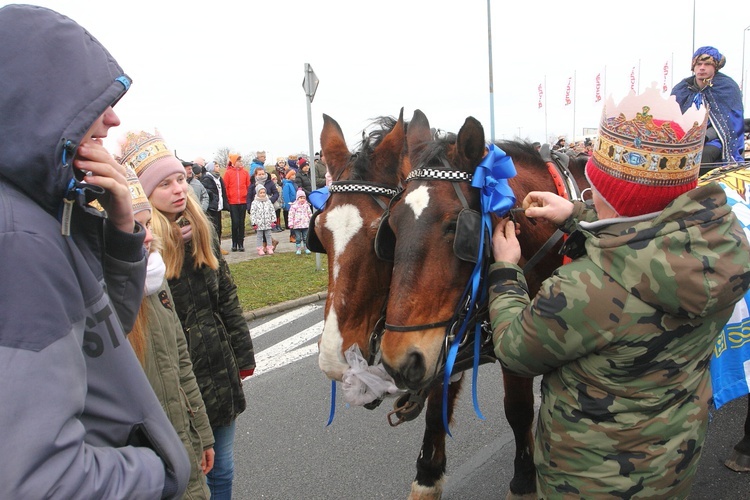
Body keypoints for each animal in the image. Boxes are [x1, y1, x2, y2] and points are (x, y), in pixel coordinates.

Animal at [378, 110, 592, 500]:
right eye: (392, 227)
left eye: (456, 228)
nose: (399, 359)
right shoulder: (447, 334)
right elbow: (437, 405)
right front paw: (427, 477)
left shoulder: (523, 338)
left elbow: (519, 410)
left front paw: (524, 481)